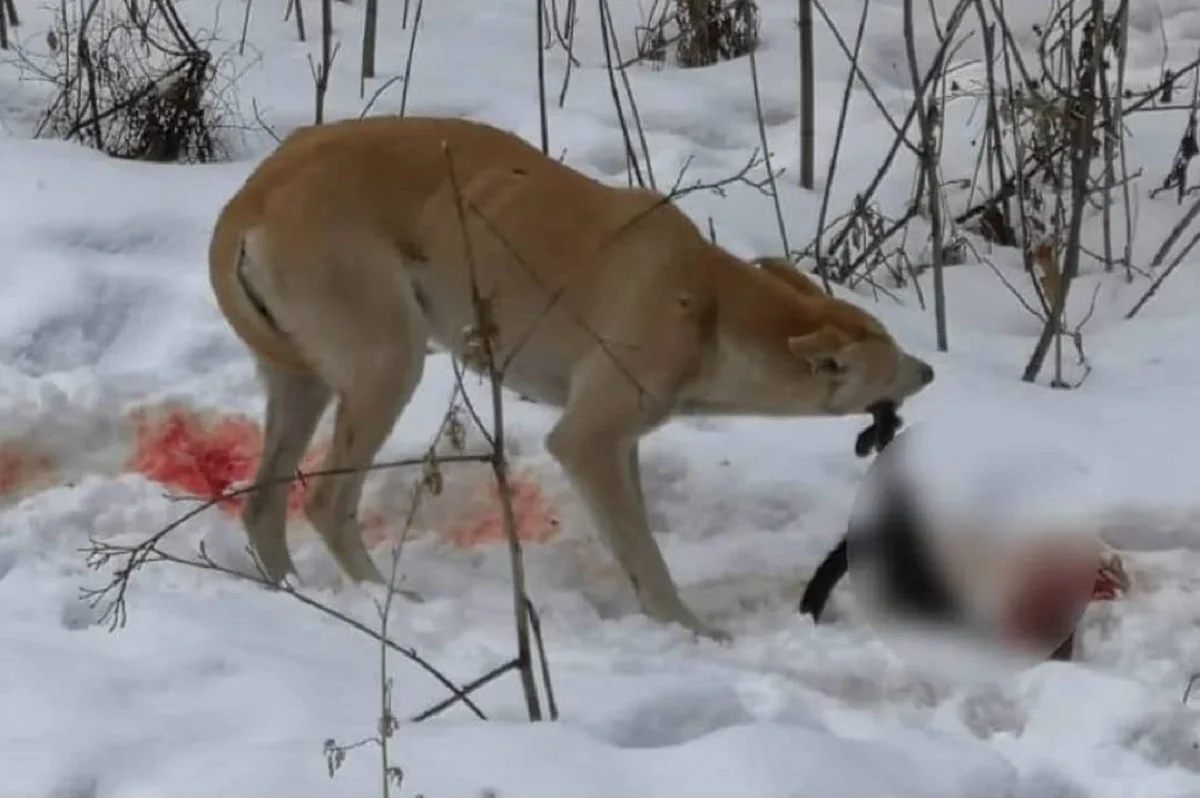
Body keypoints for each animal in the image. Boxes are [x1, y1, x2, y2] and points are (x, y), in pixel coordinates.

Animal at [208, 115, 936, 638]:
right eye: (889, 359)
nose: (929, 371)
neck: (709, 305)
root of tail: (256, 193)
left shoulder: (620, 444)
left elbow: (631, 541)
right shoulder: (588, 440)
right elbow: (645, 555)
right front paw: (689, 631)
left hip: (303, 381)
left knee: (265, 507)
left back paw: (293, 592)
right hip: (389, 363)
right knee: (328, 503)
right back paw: (385, 596)